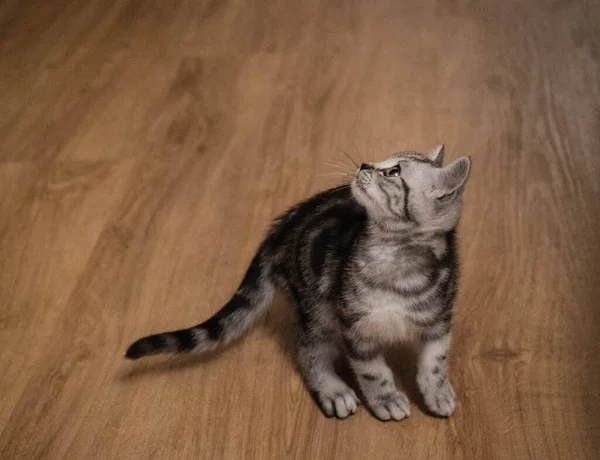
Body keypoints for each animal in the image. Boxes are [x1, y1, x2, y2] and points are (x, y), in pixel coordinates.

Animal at [127, 146, 474, 422]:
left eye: (393, 171)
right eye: (384, 160)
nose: (364, 164)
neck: (394, 255)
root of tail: (279, 228)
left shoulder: (440, 321)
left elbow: (435, 362)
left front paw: (437, 392)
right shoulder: (354, 326)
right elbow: (372, 372)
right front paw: (385, 399)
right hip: (317, 308)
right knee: (308, 351)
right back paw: (334, 391)